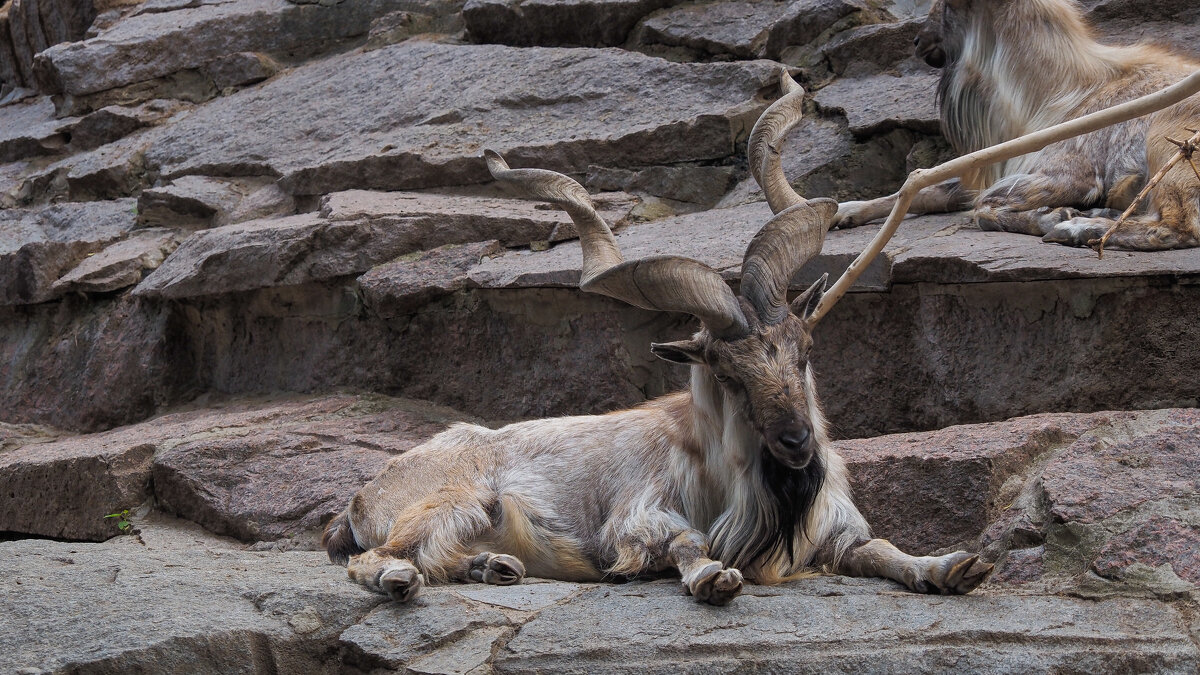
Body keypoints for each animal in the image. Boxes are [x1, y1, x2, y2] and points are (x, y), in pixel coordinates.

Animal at [326, 73, 993, 605]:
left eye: (804, 354)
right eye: (728, 373)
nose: (797, 442)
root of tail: (362, 497)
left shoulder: (831, 529)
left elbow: (879, 548)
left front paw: (953, 567)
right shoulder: (637, 514)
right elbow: (683, 543)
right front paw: (712, 578)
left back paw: (495, 566)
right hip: (454, 501)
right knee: (377, 558)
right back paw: (402, 579)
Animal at [835, 0, 1200, 249]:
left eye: (950, 5)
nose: (917, 42)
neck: (1058, 91)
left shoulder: (1069, 175)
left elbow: (983, 209)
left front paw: (1054, 216)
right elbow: (923, 192)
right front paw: (844, 211)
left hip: (1168, 140)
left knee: (1177, 227)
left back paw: (1079, 229)